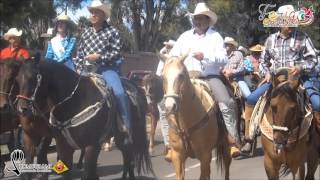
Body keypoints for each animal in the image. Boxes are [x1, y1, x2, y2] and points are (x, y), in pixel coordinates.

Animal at [15, 58, 154, 180]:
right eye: (17, 79)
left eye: (33, 78)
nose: (22, 109)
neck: (75, 101)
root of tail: (136, 87)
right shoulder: (62, 146)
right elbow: (66, 173)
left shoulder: (91, 146)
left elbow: (87, 174)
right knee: (127, 157)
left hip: (129, 134)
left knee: (129, 156)